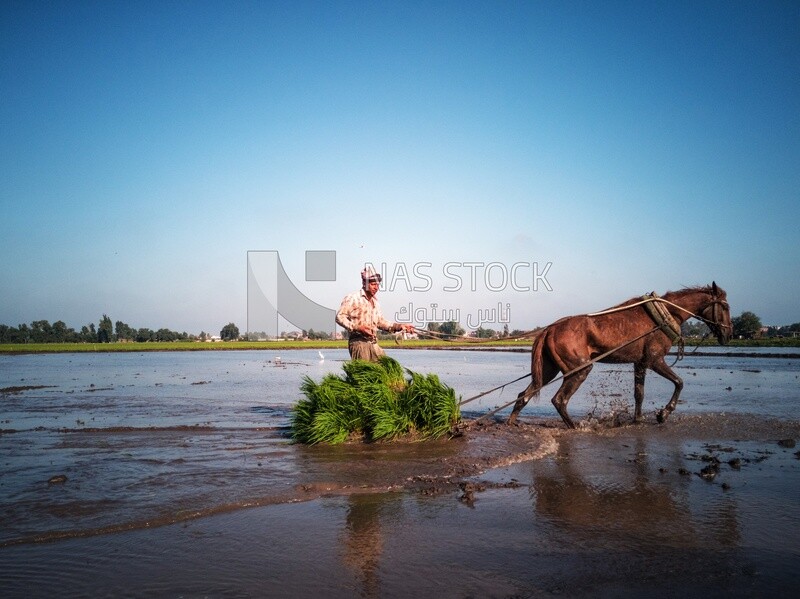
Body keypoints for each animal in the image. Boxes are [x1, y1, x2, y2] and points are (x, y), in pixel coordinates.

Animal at [506, 284, 732, 428]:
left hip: (548, 369)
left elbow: (639, 393)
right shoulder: (655, 360)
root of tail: (549, 329)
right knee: (559, 400)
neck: (665, 314)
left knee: (524, 394)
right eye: (726, 306)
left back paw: (511, 421)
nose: (728, 334)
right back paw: (575, 427)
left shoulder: (640, 363)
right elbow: (679, 382)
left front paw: (638, 420)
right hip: (579, 369)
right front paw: (663, 414)